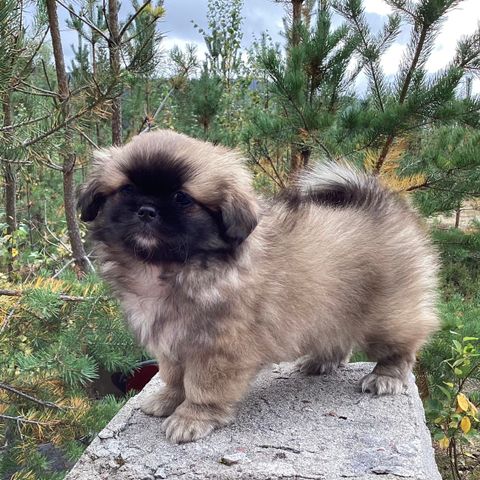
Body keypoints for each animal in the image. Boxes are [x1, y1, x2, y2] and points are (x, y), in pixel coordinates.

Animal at [78, 130, 438, 442]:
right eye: (126, 190)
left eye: (182, 198)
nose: (146, 210)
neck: (173, 267)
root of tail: (381, 203)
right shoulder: (172, 343)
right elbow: (174, 377)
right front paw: (168, 400)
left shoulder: (218, 351)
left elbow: (201, 387)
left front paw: (191, 418)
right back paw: (321, 363)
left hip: (387, 317)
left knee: (402, 347)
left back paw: (385, 377)